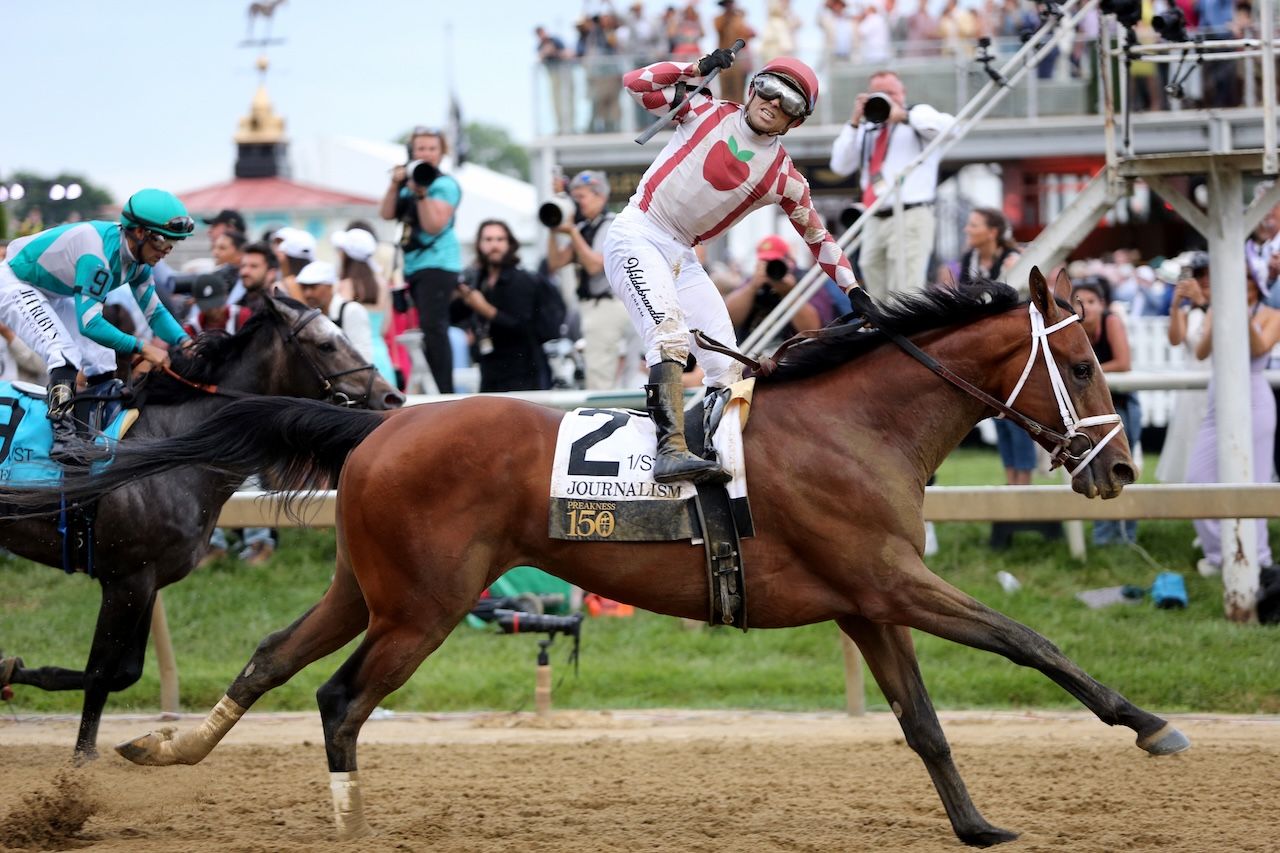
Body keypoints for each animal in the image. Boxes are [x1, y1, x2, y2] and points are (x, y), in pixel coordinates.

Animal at [0, 295, 403, 760]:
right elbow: (100, 673)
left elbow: (122, 673)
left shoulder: (146, 580)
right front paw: (81, 762)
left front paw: (7, 669)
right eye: (325, 344)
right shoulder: (126, 578)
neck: (169, 445)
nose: (392, 395)